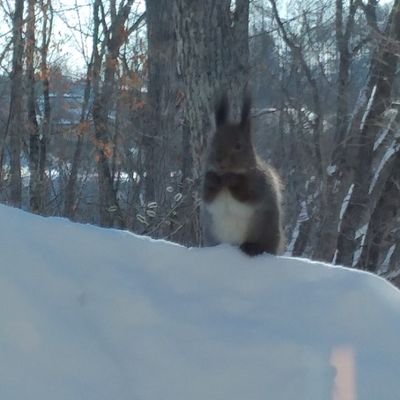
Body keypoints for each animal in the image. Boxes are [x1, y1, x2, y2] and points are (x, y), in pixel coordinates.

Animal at [202, 94, 282, 256]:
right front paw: (213, 179)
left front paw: (233, 179)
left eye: (238, 146)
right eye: (212, 142)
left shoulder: (259, 183)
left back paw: (252, 247)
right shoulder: (206, 187)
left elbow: (247, 194)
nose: (219, 159)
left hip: (265, 229)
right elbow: (207, 196)